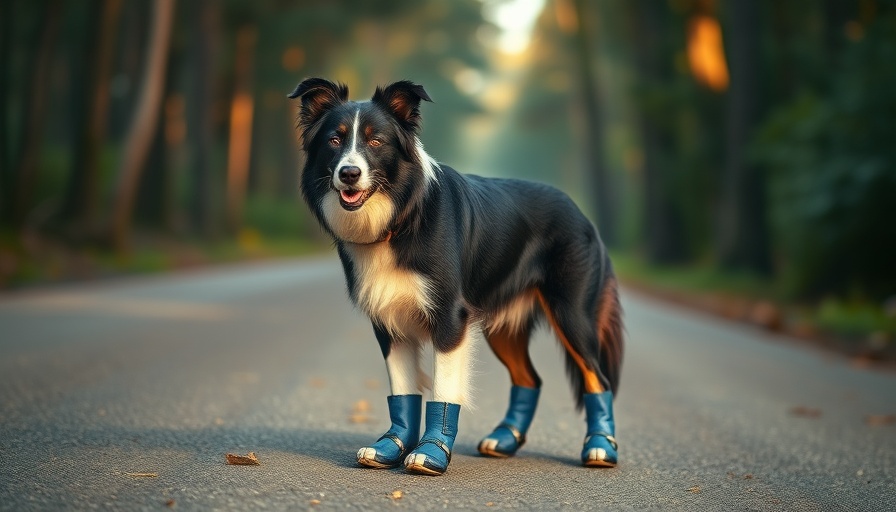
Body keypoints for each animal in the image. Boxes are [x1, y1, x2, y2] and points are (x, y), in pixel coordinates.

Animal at [288, 77, 624, 476]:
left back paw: (600, 447)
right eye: (334, 140)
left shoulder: (449, 316)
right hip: (503, 327)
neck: (401, 217)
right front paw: (390, 447)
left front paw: (431, 453)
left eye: (376, 141)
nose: (348, 173)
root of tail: (581, 212)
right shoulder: (388, 319)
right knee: (529, 378)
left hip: (572, 312)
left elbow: (445, 387)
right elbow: (403, 389)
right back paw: (504, 439)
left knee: (597, 377)